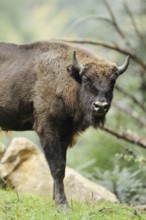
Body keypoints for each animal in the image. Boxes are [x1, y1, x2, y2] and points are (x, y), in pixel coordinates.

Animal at [0, 40, 130, 207]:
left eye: (113, 81)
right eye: (86, 79)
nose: (100, 106)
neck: (67, 78)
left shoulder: (65, 134)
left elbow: (62, 165)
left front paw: (56, 200)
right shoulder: (48, 130)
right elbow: (57, 168)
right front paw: (63, 205)